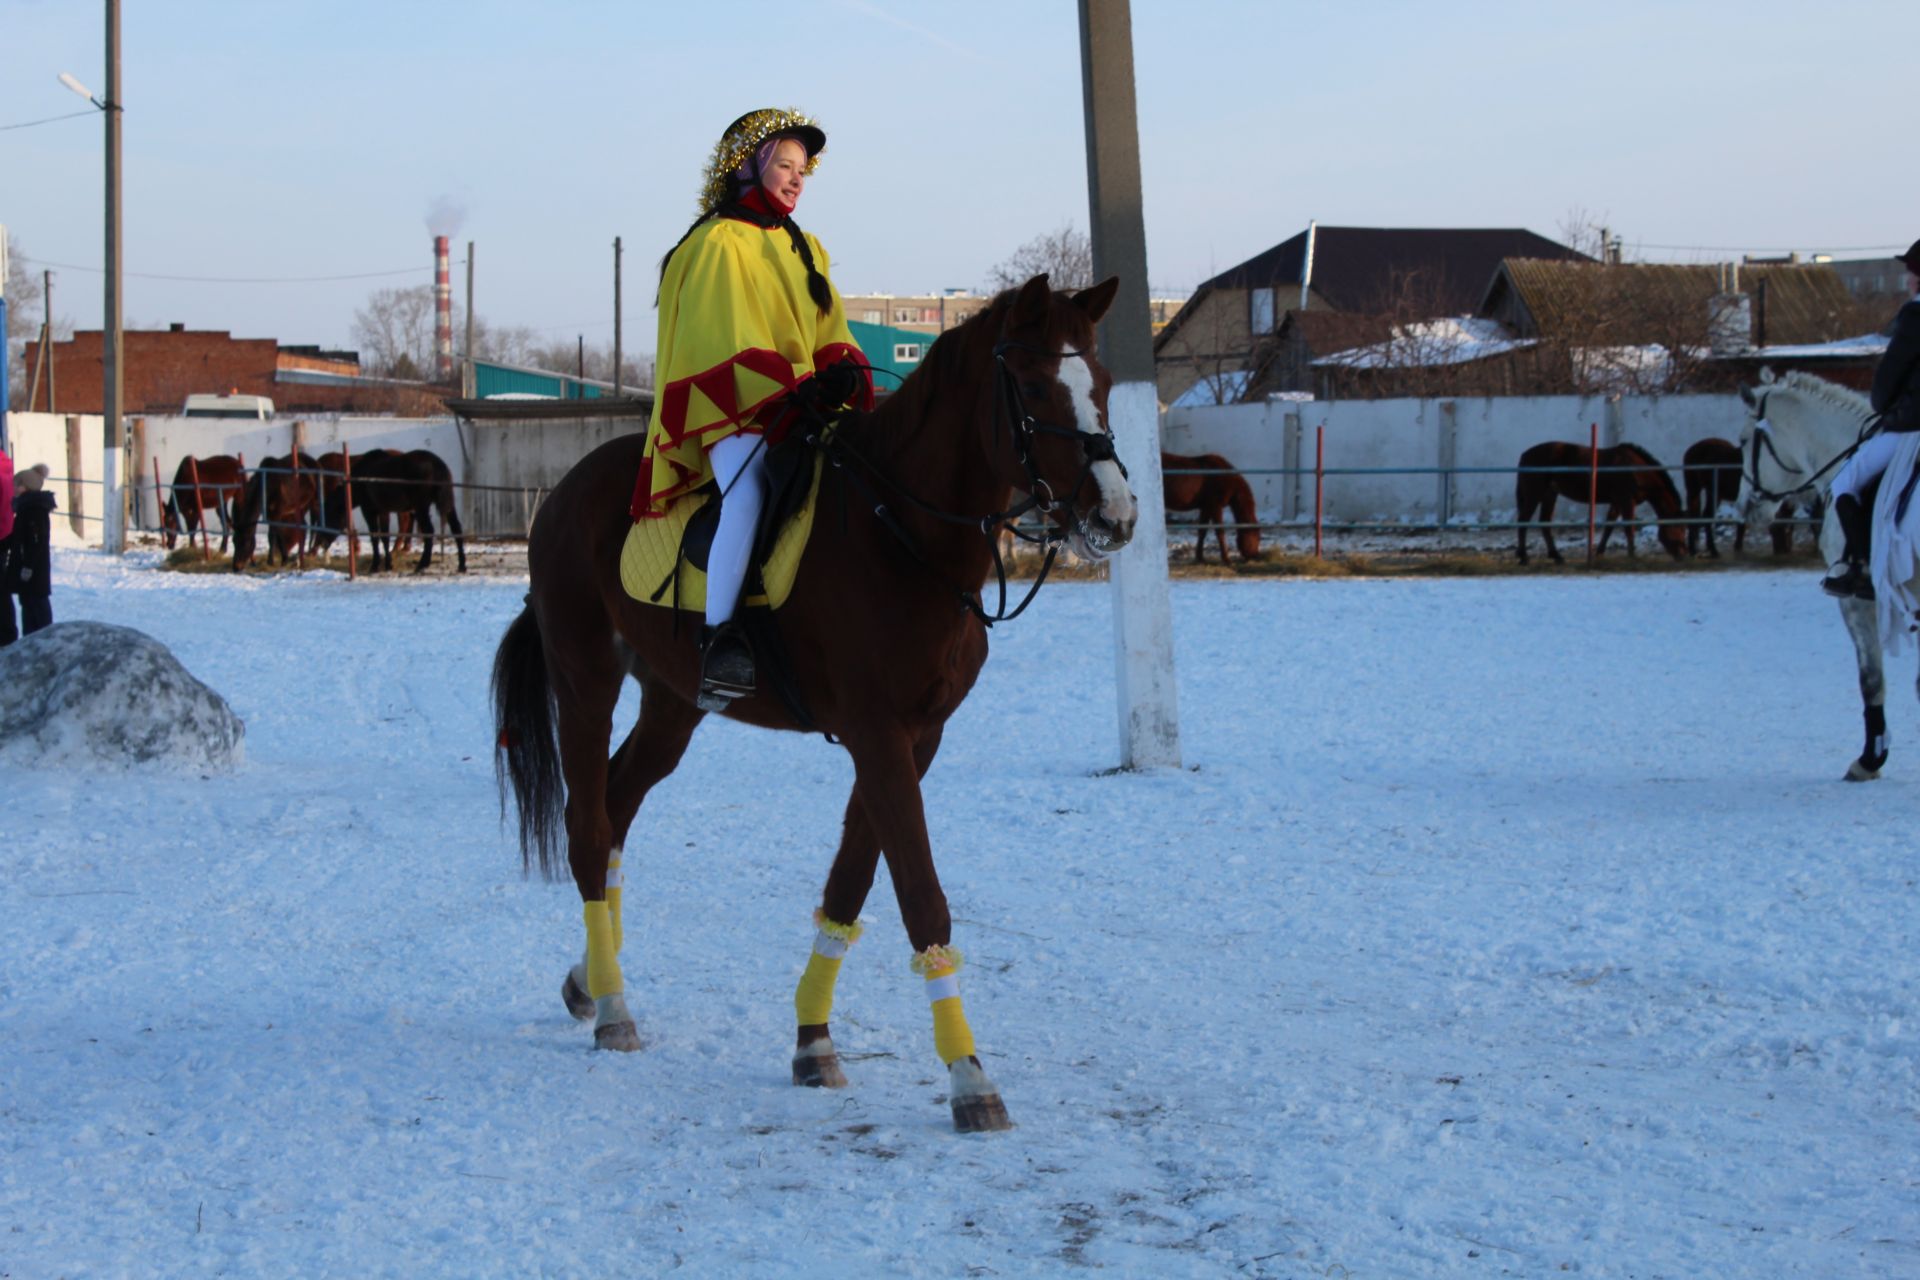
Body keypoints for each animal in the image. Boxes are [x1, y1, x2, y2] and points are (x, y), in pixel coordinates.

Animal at [491, 278, 1136, 1128]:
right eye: (1031, 388)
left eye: (1101, 384)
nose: (1116, 516)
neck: (901, 537)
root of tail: (566, 492)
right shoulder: (877, 734)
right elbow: (920, 896)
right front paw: (969, 1078)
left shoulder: (914, 738)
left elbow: (850, 885)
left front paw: (813, 1041)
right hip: (586, 681)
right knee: (590, 828)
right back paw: (614, 1011)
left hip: (673, 702)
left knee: (619, 807)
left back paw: (588, 982)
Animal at [1520, 437, 1689, 564]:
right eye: (1679, 527)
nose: (1682, 555)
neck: (1636, 471)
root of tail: (1526, 454)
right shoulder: (1627, 501)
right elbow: (1629, 528)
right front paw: (1632, 556)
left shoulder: (1617, 502)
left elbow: (1609, 525)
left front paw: (1599, 553)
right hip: (1533, 493)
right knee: (1523, 521)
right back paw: (1524, 558)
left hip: (1550, 494)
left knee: (1544, 523)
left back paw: (1557, 557)